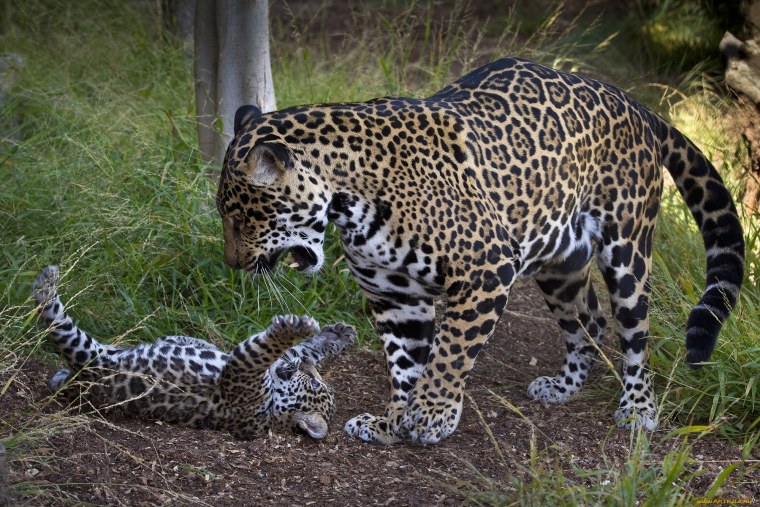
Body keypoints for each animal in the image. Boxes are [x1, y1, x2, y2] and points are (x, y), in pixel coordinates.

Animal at [32, 265, 357, 439]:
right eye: (315, 381)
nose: (306, 369)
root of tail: (82, 380)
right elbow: (303, 349)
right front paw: (336, 334)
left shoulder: (243, 367)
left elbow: (267, 346)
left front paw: (294, 328)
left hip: (89, 351)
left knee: (54, 318)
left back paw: (45, 282)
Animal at [215, 57, 745, 445]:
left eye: (242, 217)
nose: (233, 264)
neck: (349, 200)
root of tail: (630, 100)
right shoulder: (394, 297)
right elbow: (404, 364)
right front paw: (394, 421)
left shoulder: (485, 270)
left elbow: (449, 354)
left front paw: (432, 414)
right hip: (559, 262)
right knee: (588, 322)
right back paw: (564, 386)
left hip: (627, 249)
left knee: (635, 336)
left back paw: (637, 409)